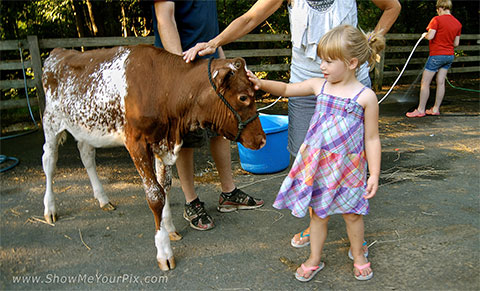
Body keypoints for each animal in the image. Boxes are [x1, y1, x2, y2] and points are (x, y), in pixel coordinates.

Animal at [41, 45, 266, 272]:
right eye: (243, 97)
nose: (262, 139)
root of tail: (58, 52)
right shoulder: (137, 143)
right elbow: (155, 195)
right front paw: (164, 251)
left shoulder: (161, 142)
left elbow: (165, 185)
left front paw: (170, 228)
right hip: (51, 121)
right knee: (49, 161)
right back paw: (50, 209)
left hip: (85, 127)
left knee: (86, 155)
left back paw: (103, 199)